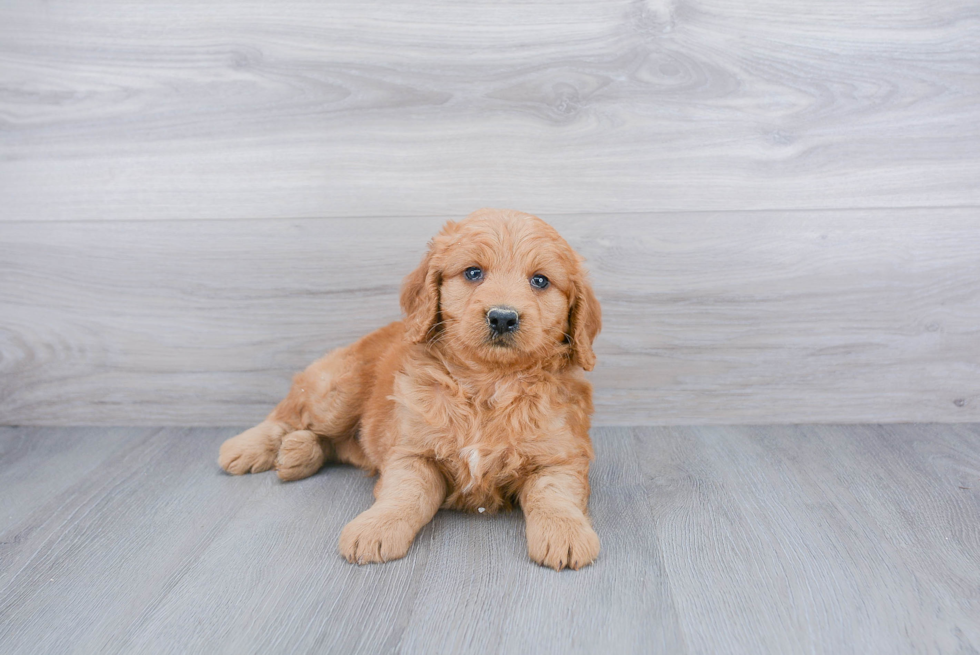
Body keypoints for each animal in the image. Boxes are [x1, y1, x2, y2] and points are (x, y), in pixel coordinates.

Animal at [218, 209, 600, 568]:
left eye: (540, 280)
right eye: (473, 273)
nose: (503, 317)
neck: (488, 382)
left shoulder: (560, 456)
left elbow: (554, 496)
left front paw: (566, 533)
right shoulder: (412, 452)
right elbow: (406, 493)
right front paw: (376, 527)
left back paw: (298, 453)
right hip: (338, 391)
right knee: (292, 412)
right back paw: (247, 447)